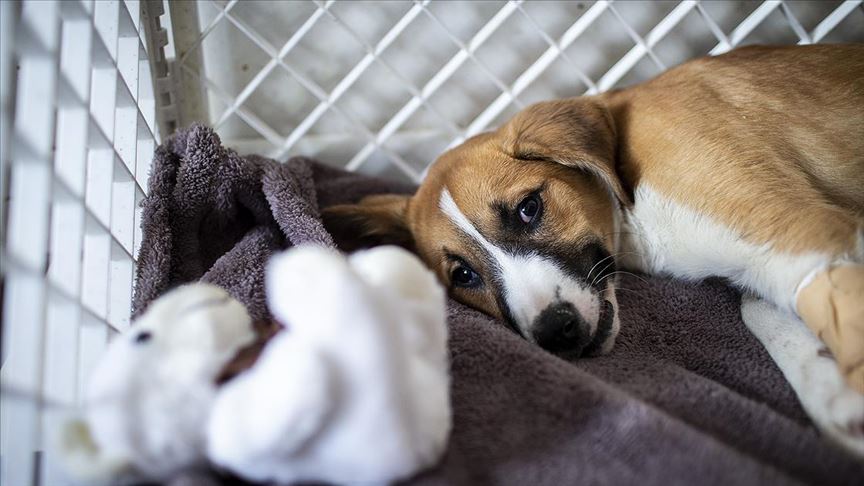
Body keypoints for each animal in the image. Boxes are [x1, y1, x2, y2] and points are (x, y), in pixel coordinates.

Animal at [326, 44, 864, 452]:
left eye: (529, 209)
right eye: (463, 276)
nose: (556, 334)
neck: (631, 204)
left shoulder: (807, 231)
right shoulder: (787, 246)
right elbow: (762, 309)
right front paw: (834, 395)